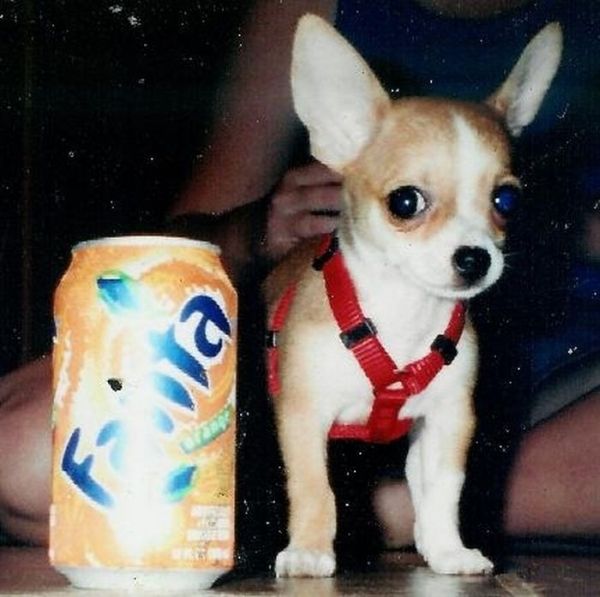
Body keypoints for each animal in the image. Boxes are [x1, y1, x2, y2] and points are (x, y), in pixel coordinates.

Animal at [264, 15, 560, 576]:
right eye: (405, 202)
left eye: (506, 201)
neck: (403, 312)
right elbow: (314, 489)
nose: (475, 257)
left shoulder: (447, 422)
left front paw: (446, 548)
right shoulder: (303, 415)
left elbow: (444, 492)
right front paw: (310, 550)